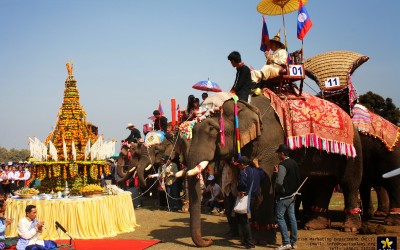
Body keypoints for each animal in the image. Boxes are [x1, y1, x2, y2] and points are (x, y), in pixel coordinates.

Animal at [186, 94, 364, 248]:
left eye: (212, 131)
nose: (208, 241)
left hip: (354, 148)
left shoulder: (271, 143)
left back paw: (350, 227)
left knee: (349, 182)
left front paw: (261, 240)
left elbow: (265, 184)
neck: (244, 105)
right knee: (323, 183)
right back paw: (314, 225)